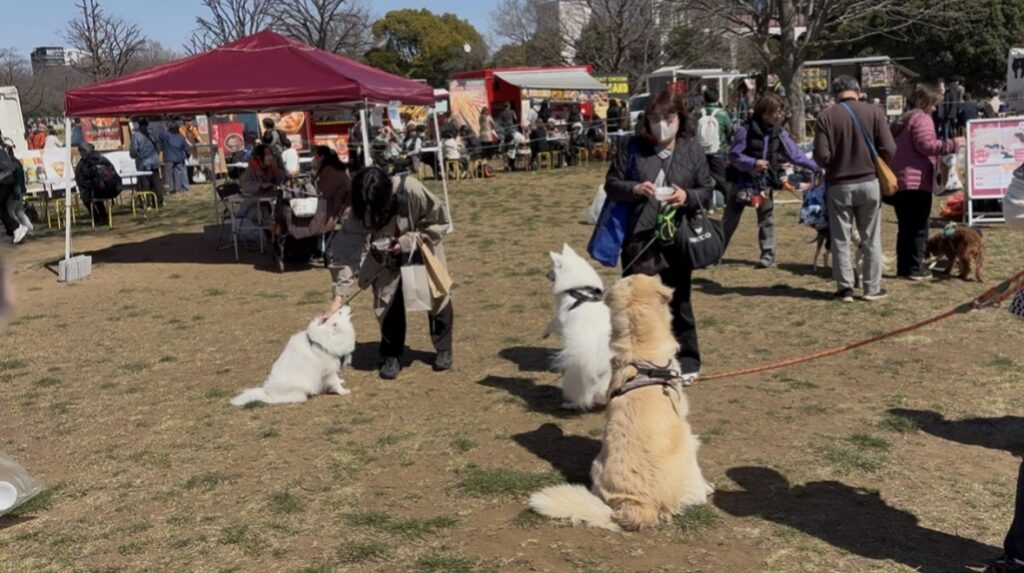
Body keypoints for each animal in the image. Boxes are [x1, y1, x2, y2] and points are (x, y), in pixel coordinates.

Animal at [543, 243, 612, 411]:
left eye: (552, 269)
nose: (546, 274)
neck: (579, 289)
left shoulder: (560, 318)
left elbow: (551, 323)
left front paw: (545, 333)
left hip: (574, 376)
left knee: (582, 397)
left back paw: (569, 404)